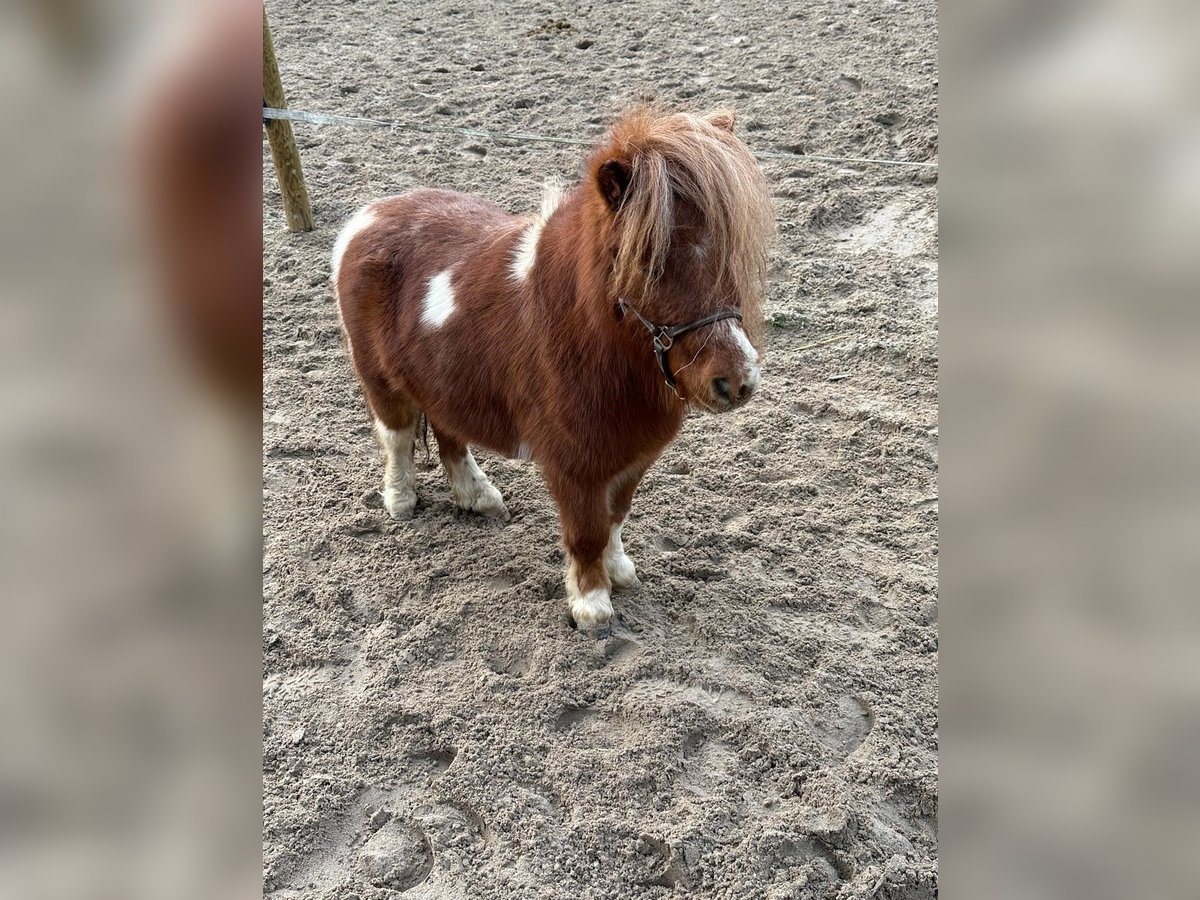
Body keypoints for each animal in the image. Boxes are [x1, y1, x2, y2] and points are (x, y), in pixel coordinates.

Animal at [333, 107, 772, 633]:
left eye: (730, 251)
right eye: (647, 262)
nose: (737, 381)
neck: (585, 334)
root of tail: (370, 216)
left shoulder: (631, 457)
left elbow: (615, 518)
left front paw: (619, 572)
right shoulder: (574, 465)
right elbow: (587, 531)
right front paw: (591, 604)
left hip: (443, 382)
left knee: (449, 434)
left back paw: (478, 497)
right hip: (381, 384)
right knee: (397, 438)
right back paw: (400, 501)